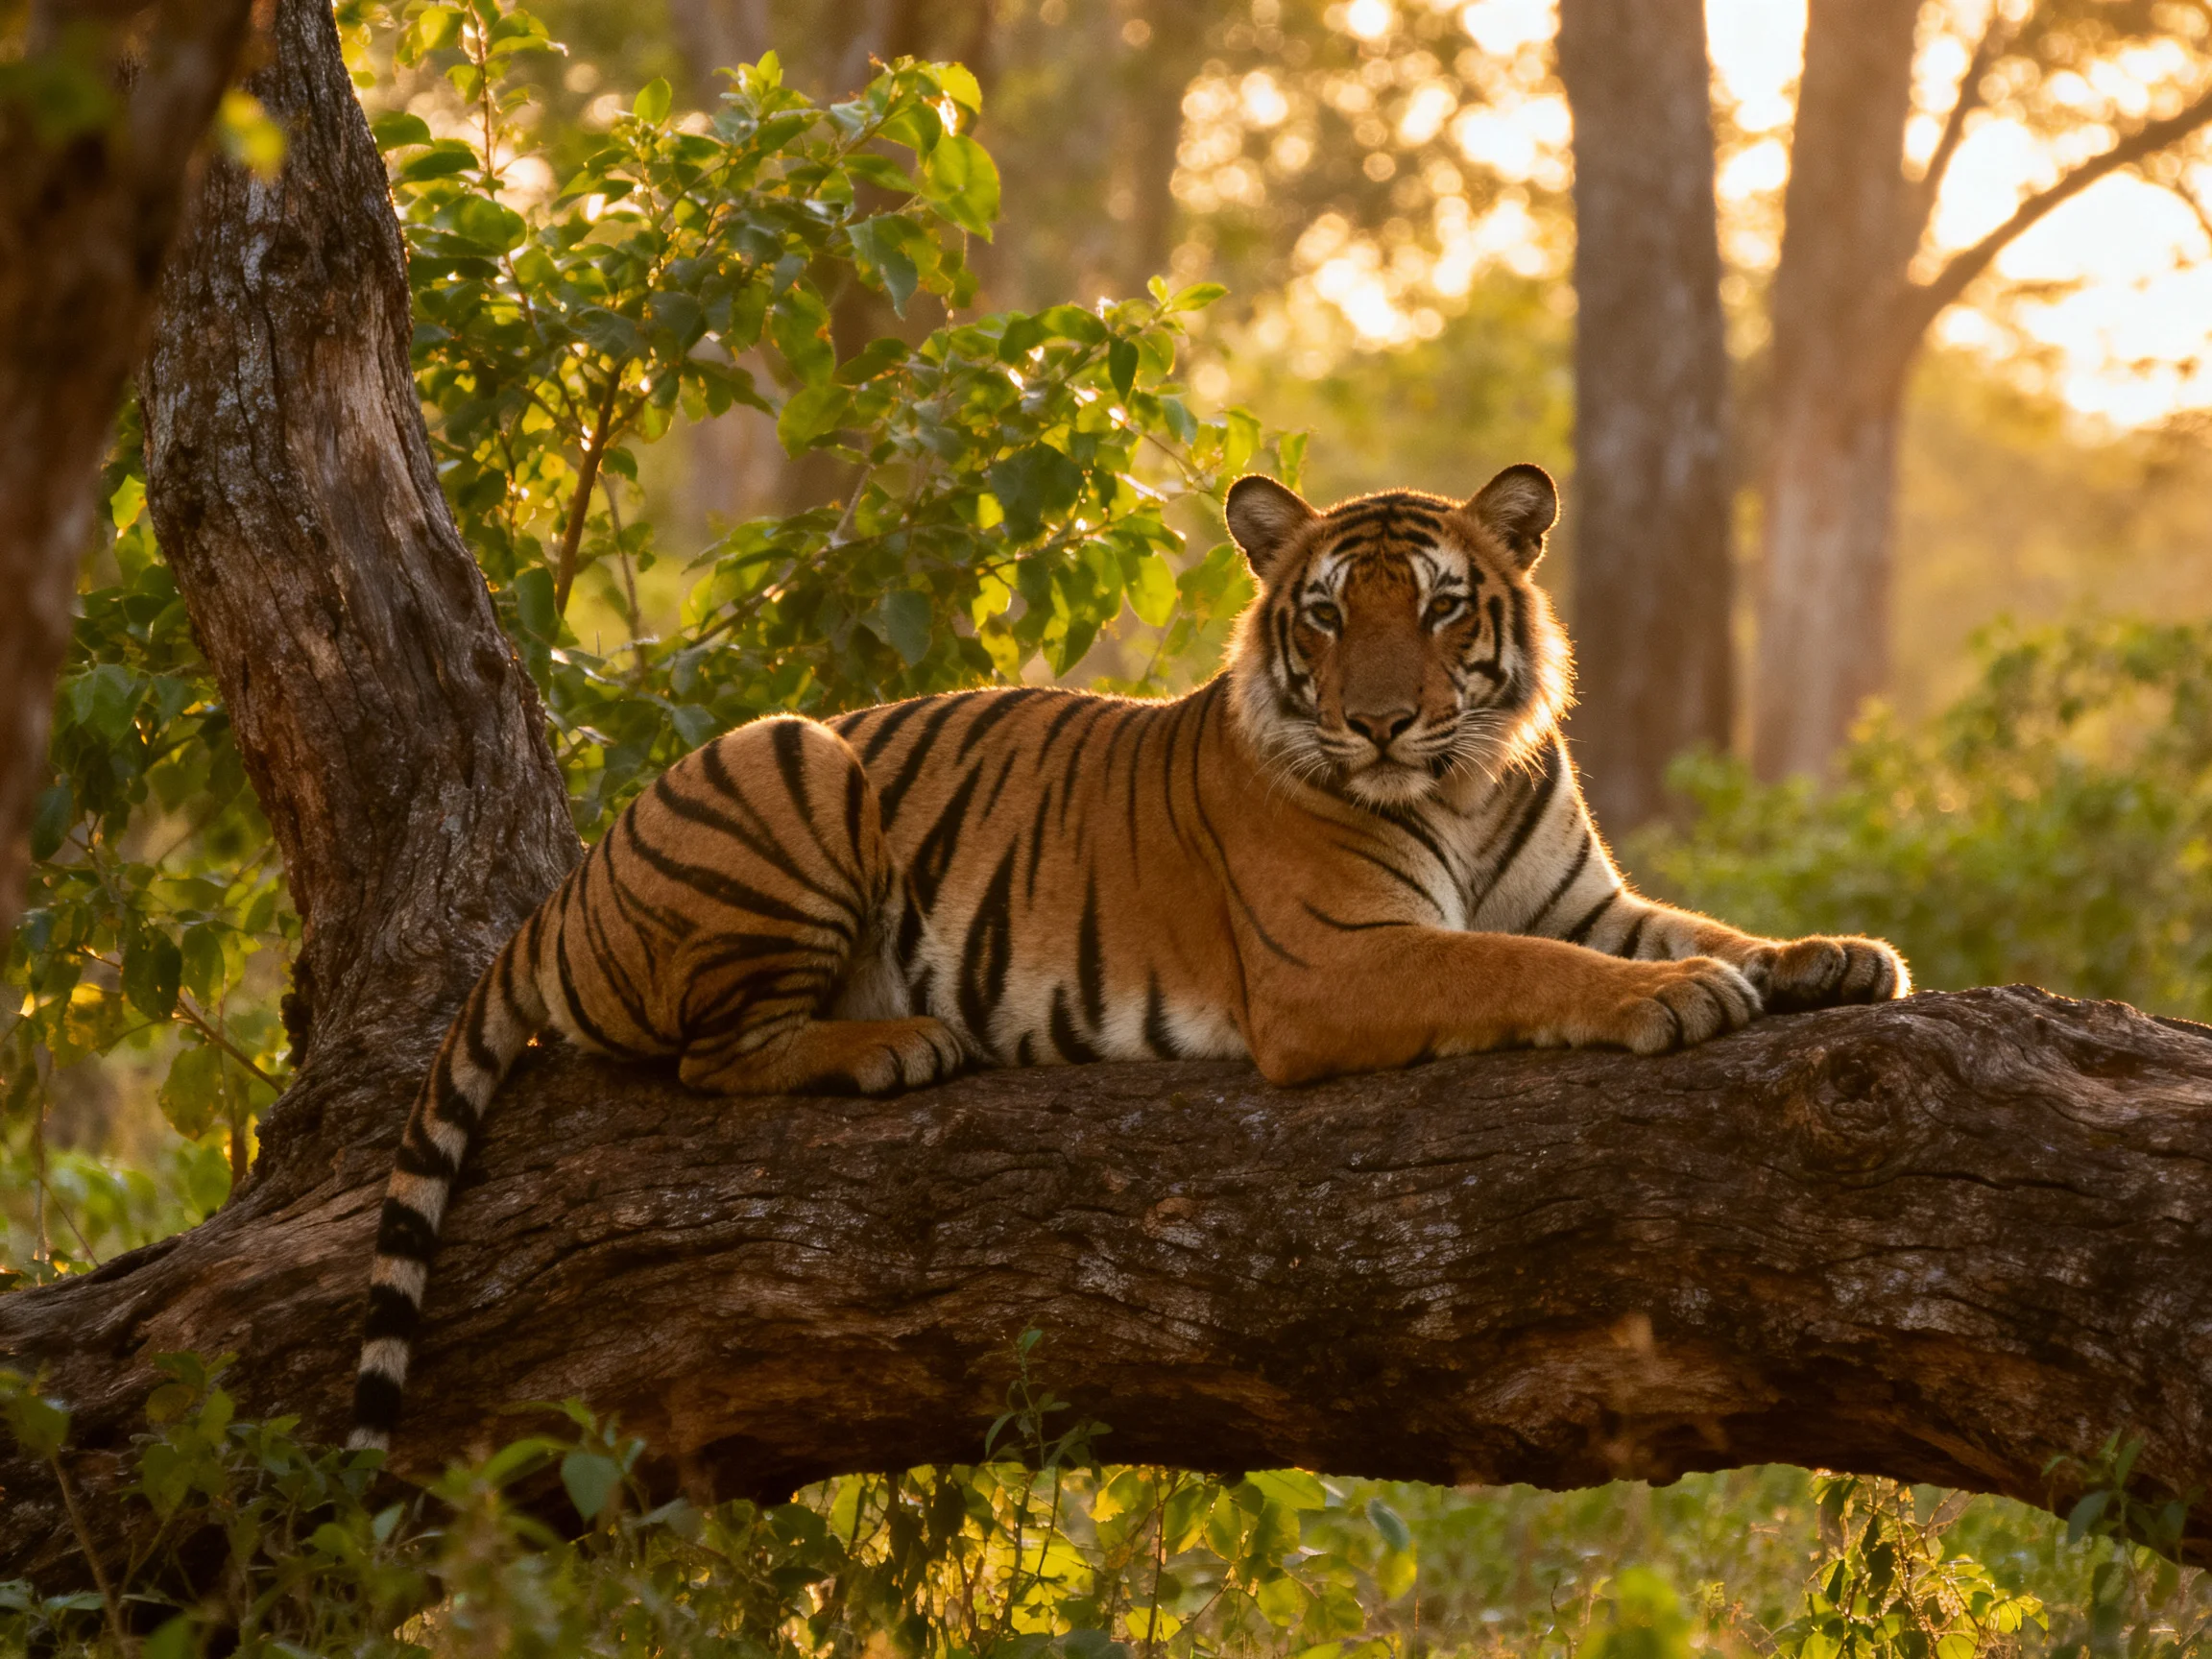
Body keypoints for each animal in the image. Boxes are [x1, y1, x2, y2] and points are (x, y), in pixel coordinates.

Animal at [349, 462, 1908, 1450]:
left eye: (1443, 606)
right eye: (1329, 612)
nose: (1383, 723)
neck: (1462, 783)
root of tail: (563, 891)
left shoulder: (1582, 896)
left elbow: (1698, 924)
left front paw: (1831, 955)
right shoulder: (1339, 962)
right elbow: (1529, 970)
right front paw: (1684, 999)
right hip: (792, 757)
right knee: (708, 1055)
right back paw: (897, 1043)